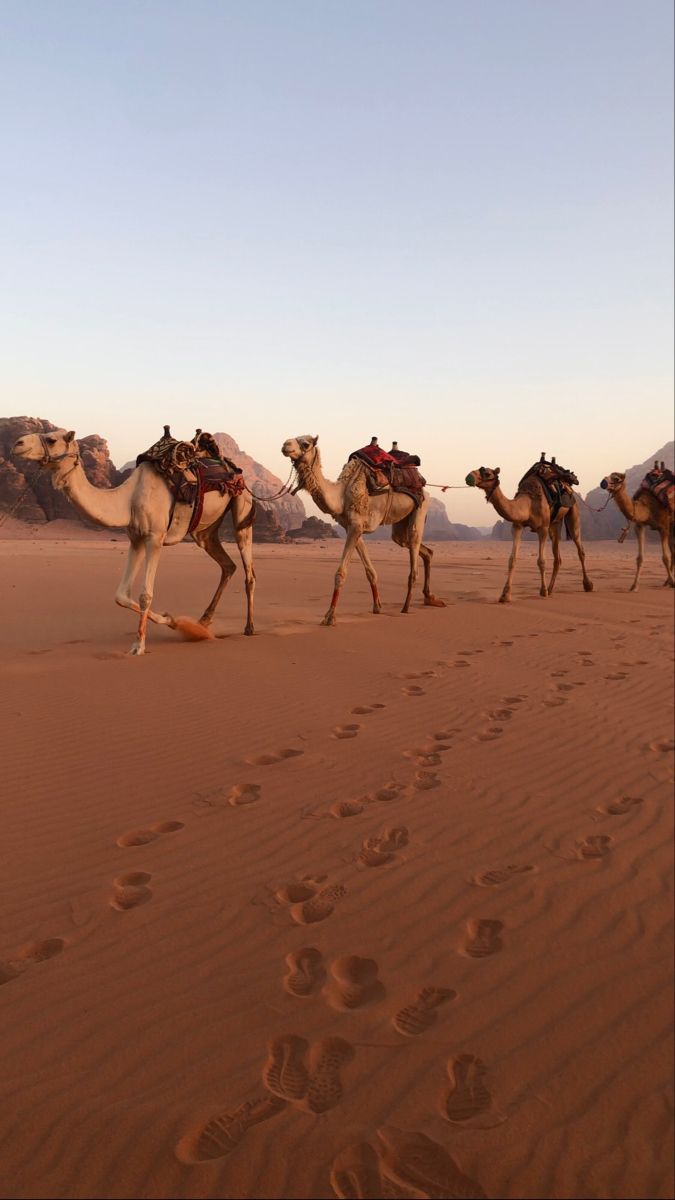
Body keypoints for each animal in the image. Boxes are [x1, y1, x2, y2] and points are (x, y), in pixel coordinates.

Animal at [13, 429, 254, 657]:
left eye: (51, 439)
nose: (18, 443)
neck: (128, 499)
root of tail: (235, 470)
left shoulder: (155, 537)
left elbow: (146, 595)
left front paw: (139, 646)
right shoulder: (136, 538)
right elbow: (121, 596)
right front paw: (172, 620)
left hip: (242, 509)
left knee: (248, 570)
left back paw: (248, 628)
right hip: (204, 532)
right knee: (227, 565)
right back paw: (203, 622)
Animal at [276, 441, 444, 628]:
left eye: (306, 443)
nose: (285, 445)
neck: (342, 494)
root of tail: (422, 482)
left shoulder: (356, 525)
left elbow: (341, 573)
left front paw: (330, 616)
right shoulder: (352, 526)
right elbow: (370, 571)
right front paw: (377, 606)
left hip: (421, 506)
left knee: (414, 544)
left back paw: (406, 607)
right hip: (401, 522)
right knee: (417, 547)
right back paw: (430, 598)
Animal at [466, 465, 590, 604]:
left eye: (487, 473)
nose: (469, 476)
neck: (529, 503)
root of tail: (568, 487)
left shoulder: (543, 528)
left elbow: (541, 561)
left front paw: (543, 591)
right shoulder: (517, 526)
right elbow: (512, 560)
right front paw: (505, 595)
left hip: (573, 512)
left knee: (580, 548)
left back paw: (587, 585)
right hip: (555, 523)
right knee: (557, 555)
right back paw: (551, 588)